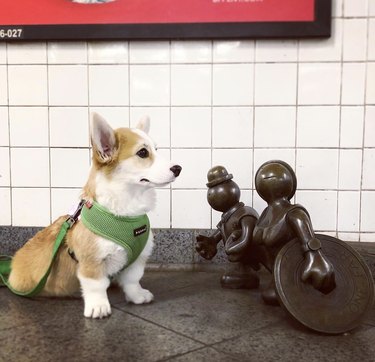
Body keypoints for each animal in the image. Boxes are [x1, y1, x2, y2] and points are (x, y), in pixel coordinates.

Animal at [6, 112, 181, 316]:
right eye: (143, 153)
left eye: (156, 149)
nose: (178, 168)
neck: (125, 214)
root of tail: (13, 265)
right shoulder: (92, 261)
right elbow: (96, 285)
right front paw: (98, 307)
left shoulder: (137, 259)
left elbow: (133, 280)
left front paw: (137, 296)